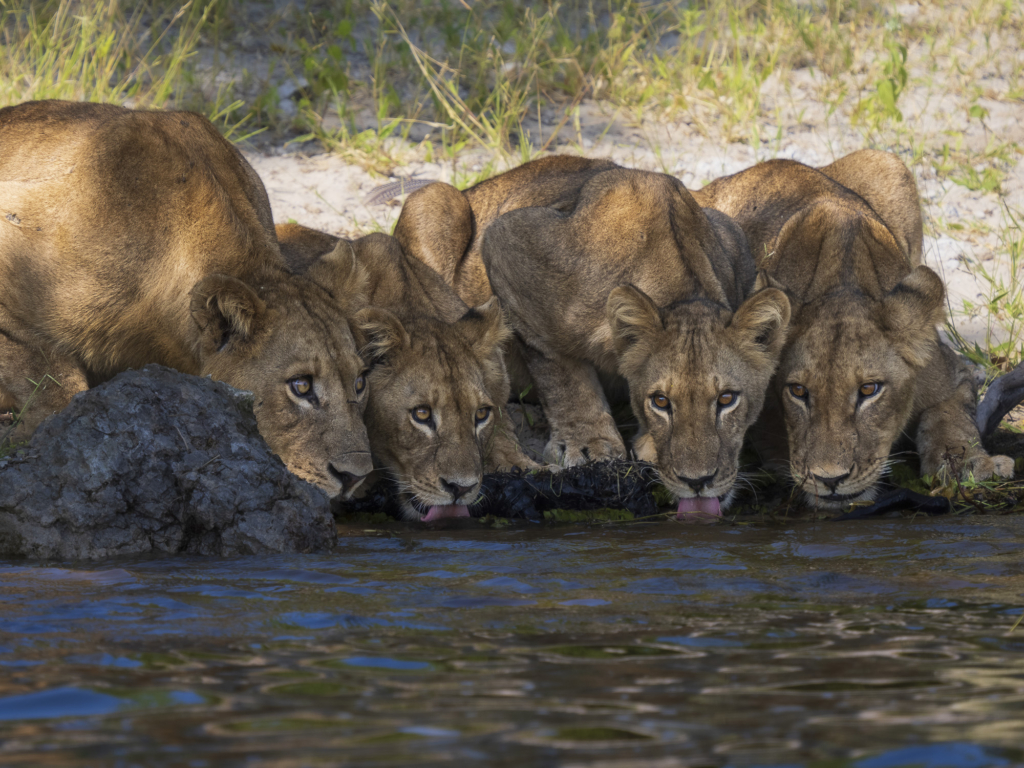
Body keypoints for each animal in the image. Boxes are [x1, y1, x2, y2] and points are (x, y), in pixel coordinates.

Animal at [471, 159, 790, 520]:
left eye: (726, 399)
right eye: (661, 401)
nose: (698, 482)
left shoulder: (733, 240)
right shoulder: (508, 242)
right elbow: (559, 370)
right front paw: (590, 444)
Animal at [692, 151, 1011, 512]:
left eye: (869, 390)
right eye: (798, 391)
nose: (830, 479)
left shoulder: (952, 376)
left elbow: (951, 421)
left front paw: (971, 465)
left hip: (887, 162)